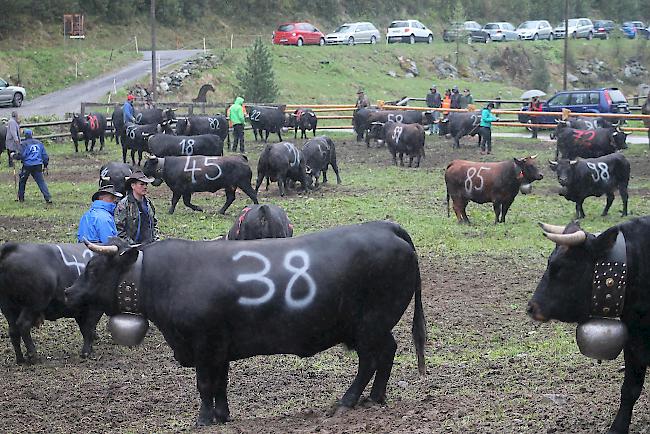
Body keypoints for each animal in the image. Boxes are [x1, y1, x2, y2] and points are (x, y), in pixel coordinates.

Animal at [64, 222, 426, 426]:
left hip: (369, 325)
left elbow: (205, 385)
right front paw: (222, 416)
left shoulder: (204, 344)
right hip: (374, 326)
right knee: (387, 353)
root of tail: (385, 227)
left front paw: (203, 420)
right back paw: (375, 397)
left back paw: (348, 400)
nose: (68, 292)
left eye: (94, 268)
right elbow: (220, 384)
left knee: (371, 360)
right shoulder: (220, 347)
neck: (162, 276)